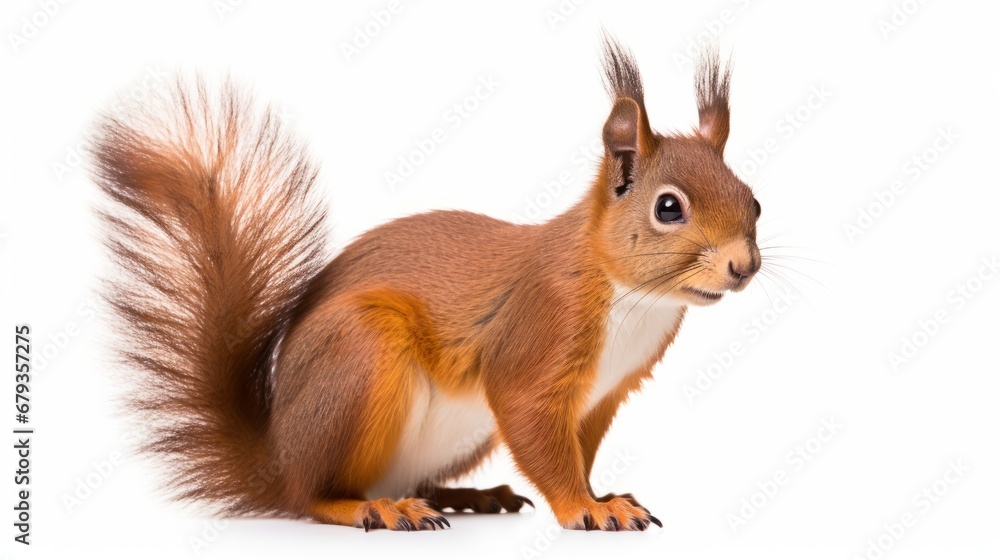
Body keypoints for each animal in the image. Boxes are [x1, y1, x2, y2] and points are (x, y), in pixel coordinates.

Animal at [91, 37, 761, 532]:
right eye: (668, 208)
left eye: (753, 200)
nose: (743, 266)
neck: (632, 297)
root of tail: (276, 460)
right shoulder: (539, 339)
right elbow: (539, 435)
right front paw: (585, 510)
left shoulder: (603, 395)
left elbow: (579, 450)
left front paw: (601, 496)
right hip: (360, 356)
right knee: (311, 497)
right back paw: (376, 508)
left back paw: (469, 497)